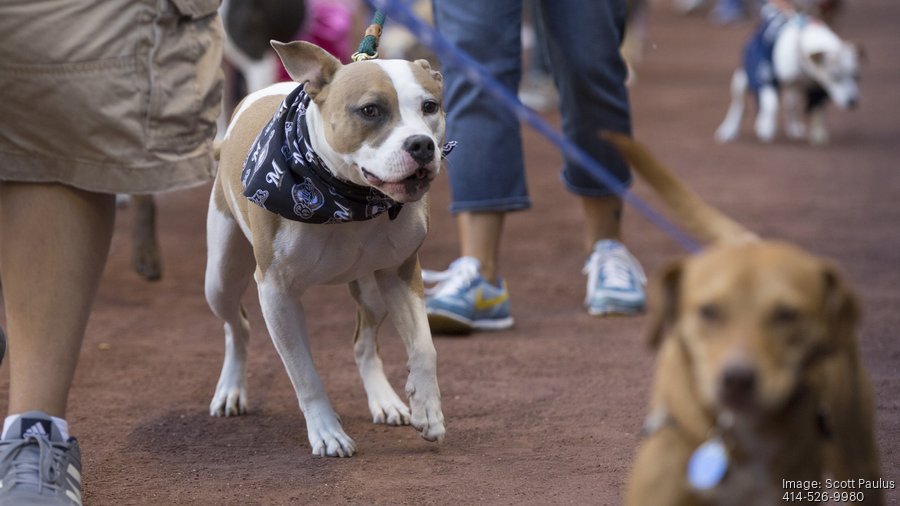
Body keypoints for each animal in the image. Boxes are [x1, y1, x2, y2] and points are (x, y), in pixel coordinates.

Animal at [712, 7, 860, 146]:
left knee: (791, 105)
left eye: (856, 77)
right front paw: (765, 126)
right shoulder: (764, 74)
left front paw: (818, 133)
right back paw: (729, 129)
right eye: (835, 77)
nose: (852, 102)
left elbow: (817, 110)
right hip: (741, 80)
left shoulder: (818, 89)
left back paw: (794, 127)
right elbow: (771, 102)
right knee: (739, 105)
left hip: (793, 89)